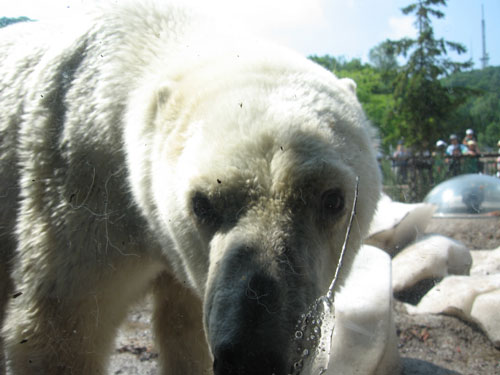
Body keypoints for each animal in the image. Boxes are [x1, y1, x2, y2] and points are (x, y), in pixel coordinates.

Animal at [0, 1, 380, 374]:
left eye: (333, 200)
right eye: (202, 204)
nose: (254, 357)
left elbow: (185, 328)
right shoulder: (80, 195)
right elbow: (60, 328)